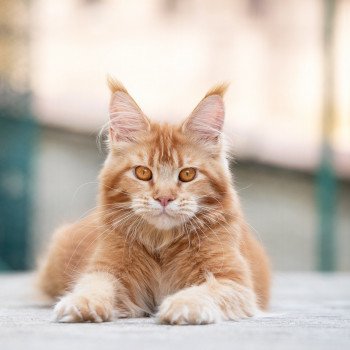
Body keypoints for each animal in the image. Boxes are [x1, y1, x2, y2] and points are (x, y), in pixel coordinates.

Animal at [36, 78, 270, 324]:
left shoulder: (233, 281)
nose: (164, 198)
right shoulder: (108, 269)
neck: (162, 244)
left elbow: (207, 290)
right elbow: (95, 285)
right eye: (143, 173)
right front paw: (82, 303)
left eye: (187, 174)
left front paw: (183, 305)